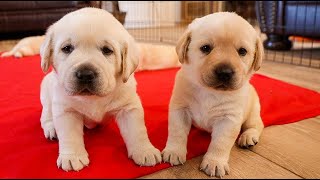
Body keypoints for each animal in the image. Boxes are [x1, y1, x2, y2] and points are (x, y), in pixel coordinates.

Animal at [39, 7, 161, 172]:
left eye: (107, 50)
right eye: (67, 48)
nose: (85, 74)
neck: (93, 98)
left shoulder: (129, 108)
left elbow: (137, 131)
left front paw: (145, 150)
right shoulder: (66, 110)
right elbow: (69, 135)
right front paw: (72, 156)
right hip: (46, 94)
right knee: (46, 115)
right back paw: (51, 128)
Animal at [161, 12, 264, 177]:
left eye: (242, 51)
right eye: (205, 48)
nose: (225, 72)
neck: (210, 91)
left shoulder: (229, 119)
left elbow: (220, 143)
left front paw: (215, 162)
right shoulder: (180, 109)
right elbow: (177, 132)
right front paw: (174, 151)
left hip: (253, 111)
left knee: (257, 125)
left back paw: (248, 136)